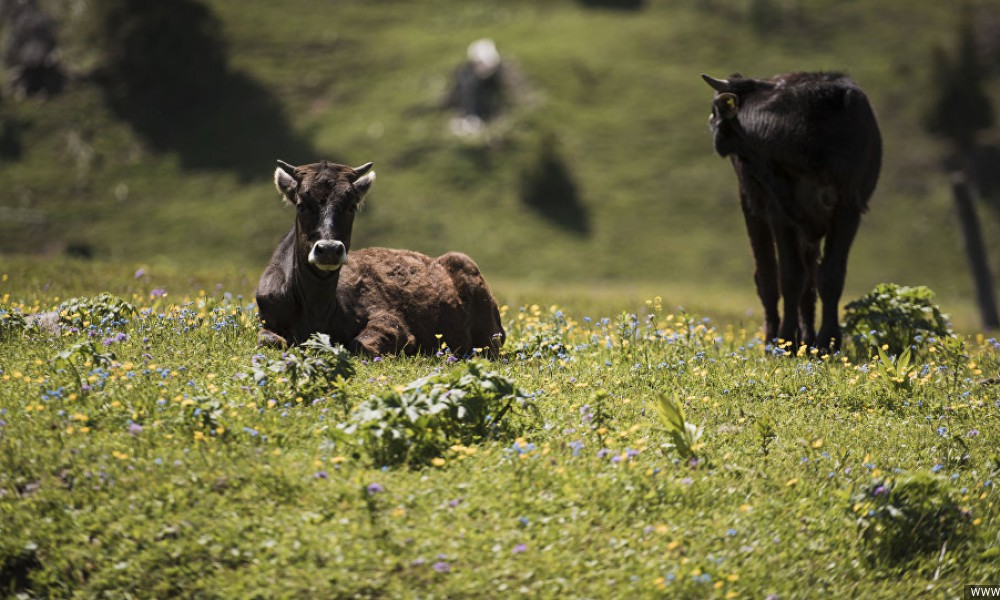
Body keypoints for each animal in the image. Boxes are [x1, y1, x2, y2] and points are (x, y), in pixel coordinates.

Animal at [254, 158, 504, 356]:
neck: (318, 311)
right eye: (301, 205)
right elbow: (268, 340)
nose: (329, 249)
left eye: (352, 206)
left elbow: (358, 345)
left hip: (489, 333)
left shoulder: (390, 321)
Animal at [704, 71, 884, 352]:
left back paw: (808, 340)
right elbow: (790, 277)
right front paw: (786, 340)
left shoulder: (848, 208)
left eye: (715, 110)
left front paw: (829, 341)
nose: (711, 125)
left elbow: (830, 276)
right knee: (768, 277)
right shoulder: (780, 210)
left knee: (808, 281)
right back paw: (774, 338)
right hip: (755, 207)